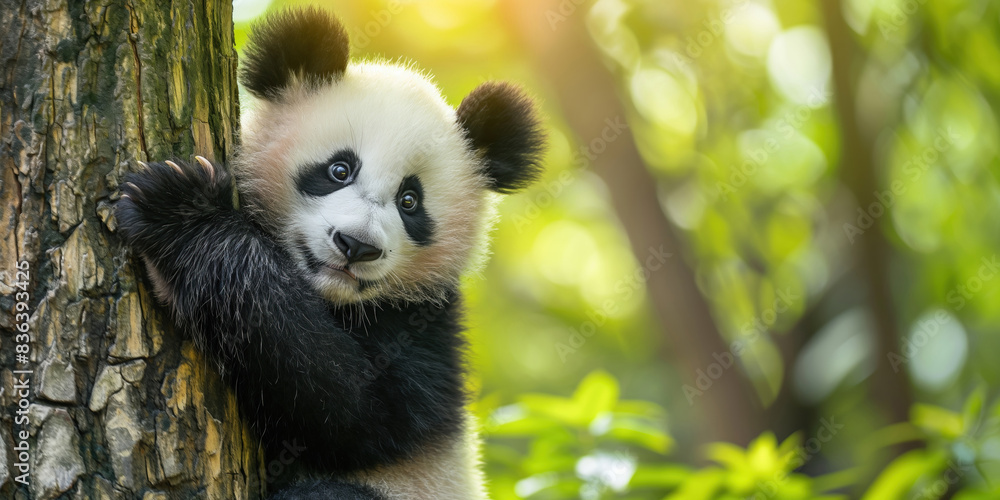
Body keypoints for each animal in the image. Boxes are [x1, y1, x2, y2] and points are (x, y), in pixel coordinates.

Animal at [114, 7, 545, 500]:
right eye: (339, 169)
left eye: (410, 201)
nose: (357, 245)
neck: (331, 297)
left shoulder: (423, 330)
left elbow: (348, 409)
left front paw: (181, 212)